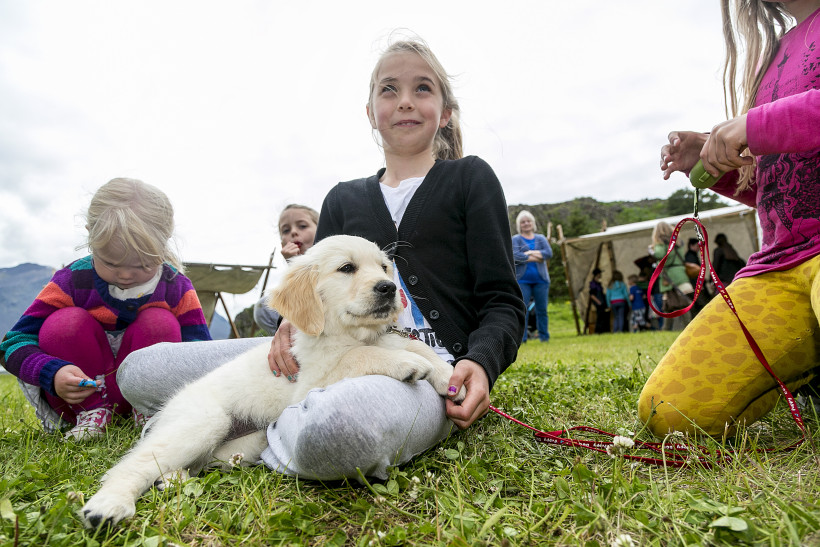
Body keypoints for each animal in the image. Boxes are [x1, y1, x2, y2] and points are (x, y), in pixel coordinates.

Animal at [80, 235, 464, 532]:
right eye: (347, 269)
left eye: (384, 268)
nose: (389, 288)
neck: (349, 333)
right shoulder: (312, 379)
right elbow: (359, 356)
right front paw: (407, 365)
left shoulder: (385, 338)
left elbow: (413, 345)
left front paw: (449, 378)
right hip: (203, 421)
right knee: (135, 463)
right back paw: (107, 506)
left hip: (240, 447)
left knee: (192, 465)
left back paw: (172, 480)